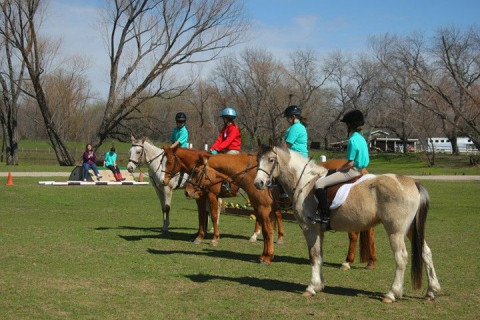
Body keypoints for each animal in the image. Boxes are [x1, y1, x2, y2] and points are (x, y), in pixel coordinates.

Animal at [253, 144, 440, 304]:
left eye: (271, 160)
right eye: (258, 159)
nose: (258, 183)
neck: (305, 182)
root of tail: (413, 182)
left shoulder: (310, 228)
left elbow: (314, 256)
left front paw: (311, 287)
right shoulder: (319, 231)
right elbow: (320, 255)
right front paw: (319, 285)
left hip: (396, 232)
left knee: (401, 258)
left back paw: (392, 294)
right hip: (411, 230)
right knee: (426, 253)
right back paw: (431, 291)